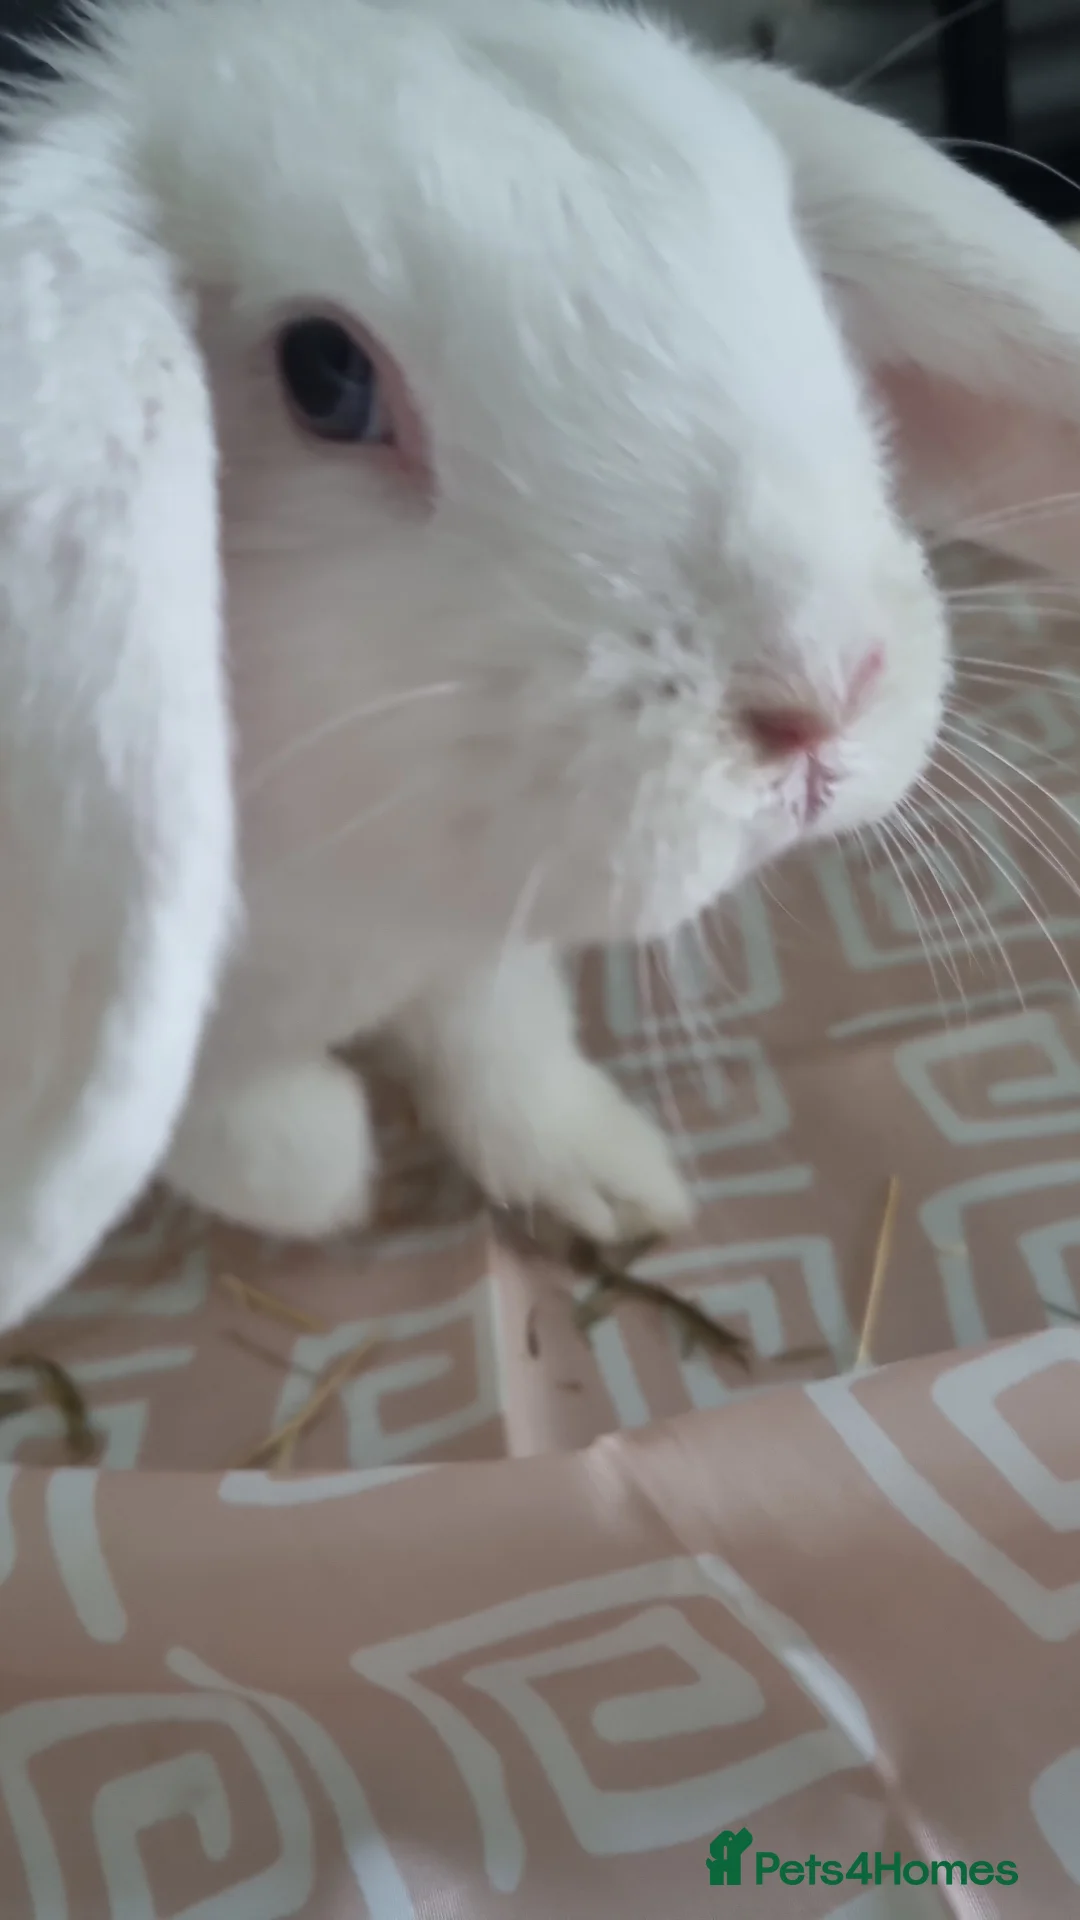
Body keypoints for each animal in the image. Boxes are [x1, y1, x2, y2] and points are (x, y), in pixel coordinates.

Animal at [5, 0, 1080, 1330]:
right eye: (326, 374)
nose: (824, 698)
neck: (361, 881)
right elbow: (232, 1128)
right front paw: (332, 1166)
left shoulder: (480, 949)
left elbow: (502, 1044)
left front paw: (610, 1183)